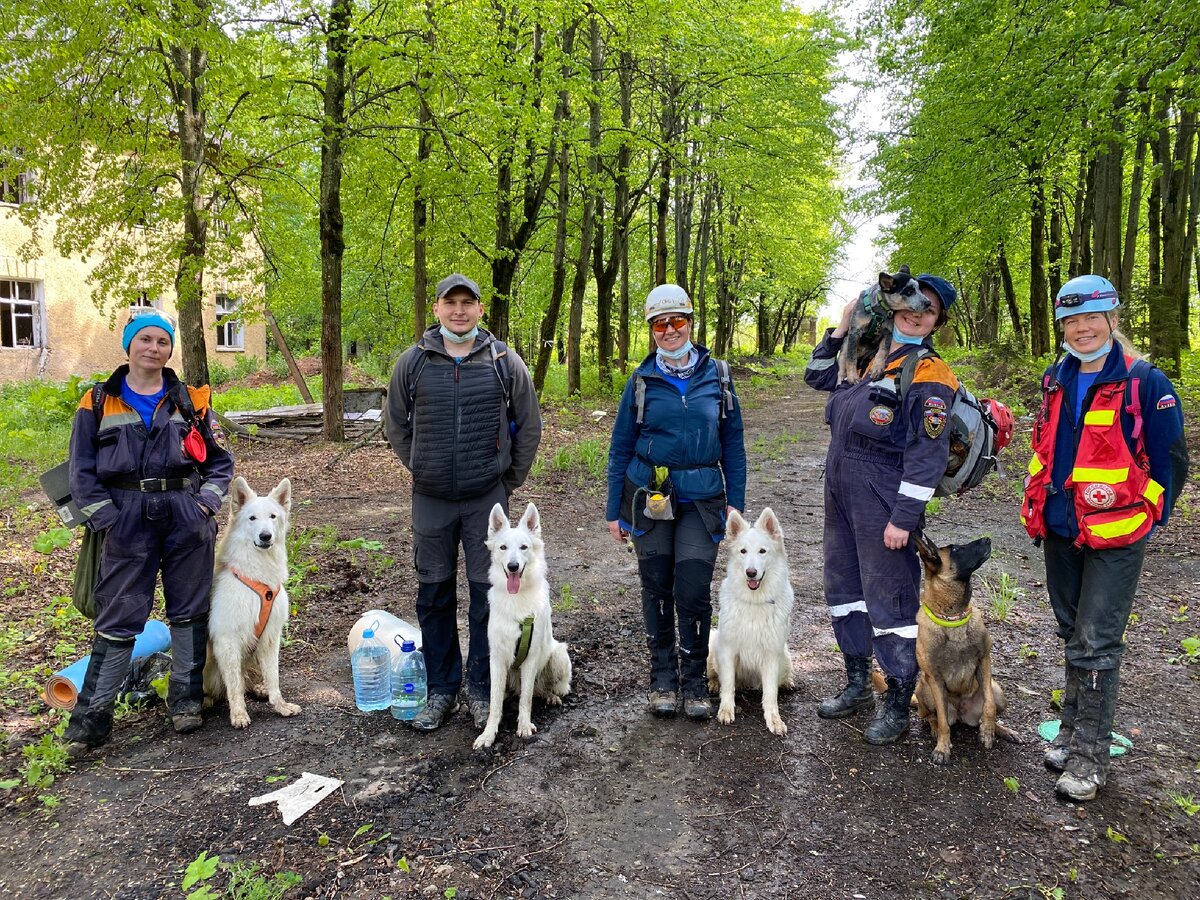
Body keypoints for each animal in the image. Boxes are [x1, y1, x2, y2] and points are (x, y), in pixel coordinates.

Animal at [204, 475, 302, 729]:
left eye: (273, 516)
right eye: (252, 518)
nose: (265, 536)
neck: (257, 574)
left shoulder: (270, 637)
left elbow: (274, 678)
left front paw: (280, 705)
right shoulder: (227, 640)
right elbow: (234, 685)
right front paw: (239, 714)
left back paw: (259, 688)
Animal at [472, 504, 571, 748]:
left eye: (524, 547)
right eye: (503, 547)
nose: (513, 566)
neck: (516, 599)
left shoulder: (531, 657)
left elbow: (526, 699)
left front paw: (524, 726)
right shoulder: (496, 659)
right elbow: (494, 703)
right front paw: (488, 734)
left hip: (559, 654)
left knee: (545, 689)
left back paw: (551, 696)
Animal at [705, 511, 792, 734]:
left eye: (762, 551)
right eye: (743, 551)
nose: (751, 572)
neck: (755, 601)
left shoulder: (772, 654)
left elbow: (770, 693)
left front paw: (774, 719)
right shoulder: (728, 649)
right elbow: (728, 685)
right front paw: (726, 710)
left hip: (785, 655)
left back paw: (787, 682)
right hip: (714, 642)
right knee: (715, 674)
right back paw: (713, 684)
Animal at [912, 532, 1017, 763]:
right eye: (956, 550)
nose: (987, 538)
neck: (953, 617)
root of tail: (961, 714)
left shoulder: (984, 661)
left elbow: (989, 707)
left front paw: (988, 730)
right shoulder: (935, 679)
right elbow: (943, 721)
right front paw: (942, 747)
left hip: (998, 690)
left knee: (989, 709)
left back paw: (1001, 730)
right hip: (923, 689)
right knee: (929, 715)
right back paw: (933, 727)